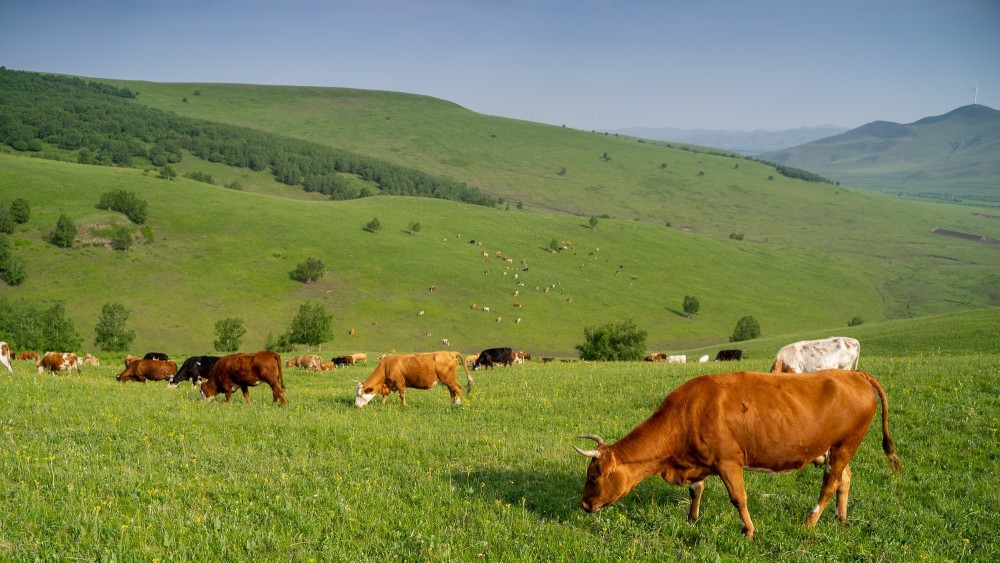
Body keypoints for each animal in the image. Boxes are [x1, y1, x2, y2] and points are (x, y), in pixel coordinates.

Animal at [576, 372, 904, 540]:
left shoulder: (728, 461)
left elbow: (738, 498)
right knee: (844, 479)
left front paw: (749, 530)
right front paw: (692, 518)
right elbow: (697, 489)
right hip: (834, 449)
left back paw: (810, 522)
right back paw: (841, 519)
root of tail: (854, 373)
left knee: (829, 484)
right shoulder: (700, 461)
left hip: (846, 443)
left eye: (593, 475)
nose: (584, 505)